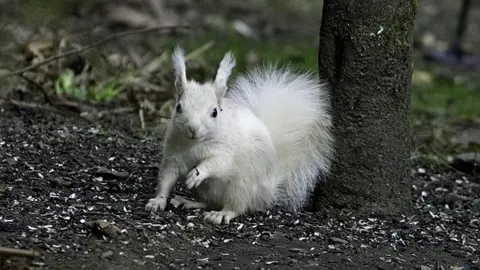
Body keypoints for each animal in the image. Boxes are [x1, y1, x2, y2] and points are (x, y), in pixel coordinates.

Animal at [146, 46, 334, 224]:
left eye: (215, 112)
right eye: (178, 107)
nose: (193, 128)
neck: (195, 144)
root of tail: (268, 191)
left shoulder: (226, 150)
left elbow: (219, 164)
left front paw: (197, 174)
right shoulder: (173, 156)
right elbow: (166, 179)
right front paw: (158, 201)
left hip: (241, 187)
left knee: (235, 207)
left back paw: (220, 214)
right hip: (210, 191)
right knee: (211, 202)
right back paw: (190, 202)